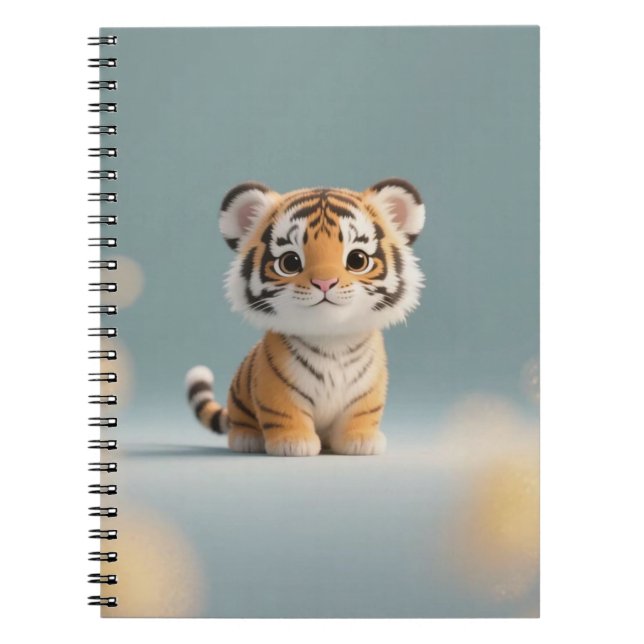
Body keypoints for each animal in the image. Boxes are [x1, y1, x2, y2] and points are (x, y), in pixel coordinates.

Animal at [185, 178, 426, 456]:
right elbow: (286, 414)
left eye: (357, 260)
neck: (331, 340)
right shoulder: (276, 388)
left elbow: (361, 414)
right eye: (290, 262)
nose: (325, 282)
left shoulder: (367, 390)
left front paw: (361, 441)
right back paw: (247, 439)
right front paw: (293, 443)